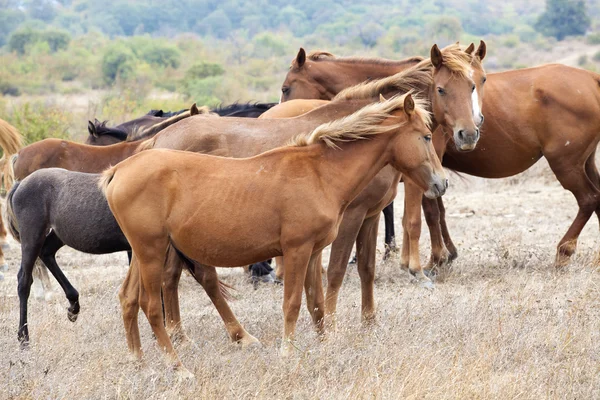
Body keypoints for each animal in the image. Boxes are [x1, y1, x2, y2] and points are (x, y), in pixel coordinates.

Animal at [99, 92, 446, 376]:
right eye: (426, 136)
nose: (441, 183)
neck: (320, 173)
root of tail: (120, 170)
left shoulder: (313, 252)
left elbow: (316, 304)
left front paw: (325, 348)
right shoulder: (297, 250)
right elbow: (292, 303)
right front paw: (287, 354)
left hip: (144, 253)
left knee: (129, 298)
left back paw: (139, 362)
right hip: (152, 252)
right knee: (151, 305)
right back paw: (178, 367)